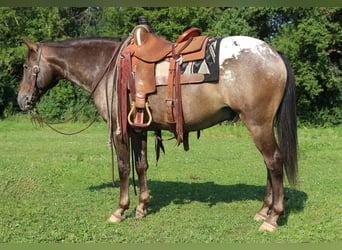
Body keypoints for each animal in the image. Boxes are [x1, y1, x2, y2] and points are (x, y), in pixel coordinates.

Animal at [17, 30, 298, 231]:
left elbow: (124, 168)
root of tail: (273, 53)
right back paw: (263, 211)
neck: (107, 68)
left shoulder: (119, 130)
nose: (22, 100)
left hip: (257, 123)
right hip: (262, 125)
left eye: (25, 67)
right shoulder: (139, 128)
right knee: (269, 164)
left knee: (274, 161)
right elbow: (141, 166)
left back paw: (273, 218)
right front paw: (141, 207)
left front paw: (120, 210)